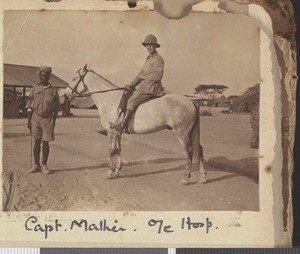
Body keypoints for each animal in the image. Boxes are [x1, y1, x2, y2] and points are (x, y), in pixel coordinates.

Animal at [65, 65, 206, 185]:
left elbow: (112, 150)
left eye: (74, 78)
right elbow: (118, 149)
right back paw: (203, 177)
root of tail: (191, 101)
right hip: (190, 133)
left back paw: (185, 178)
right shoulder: (118, 131)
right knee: (199, 149)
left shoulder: (111, 131)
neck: (110, 98)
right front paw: (117, 171)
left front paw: (110, 172)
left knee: (189, 152)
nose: (66, 94)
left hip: (182, 133)